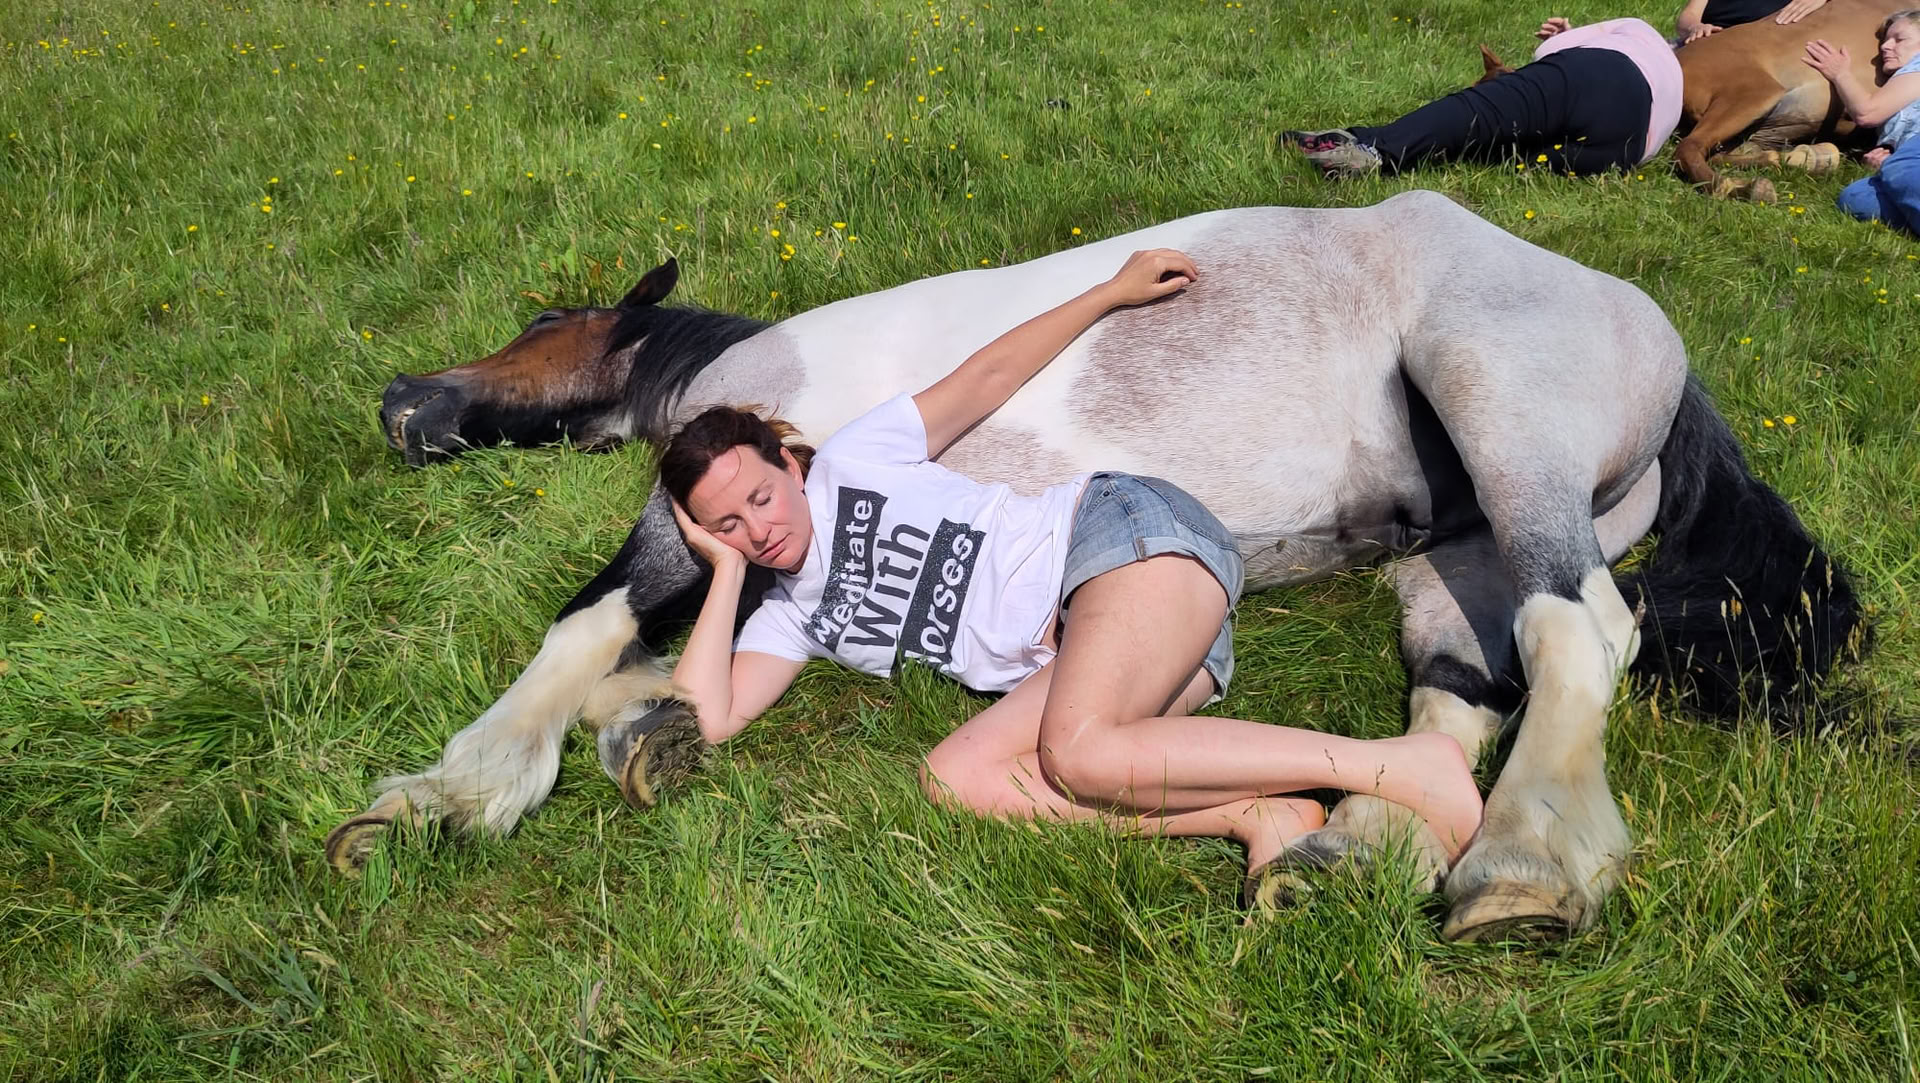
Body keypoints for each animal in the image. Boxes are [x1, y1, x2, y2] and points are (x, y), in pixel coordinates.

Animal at [334, 190, 1866, 942]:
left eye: (547, 322)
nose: (402, 401)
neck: (768, 386)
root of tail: (1640, 329)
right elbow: (651, 667)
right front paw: (630, 728)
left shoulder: (698, 523)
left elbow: (583, 628)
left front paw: (445, 794)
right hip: (1453, 552)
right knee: (1458, 693)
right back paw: (1346, 849)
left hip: (1504, 426)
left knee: (1578, 631)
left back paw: (1526, 862)